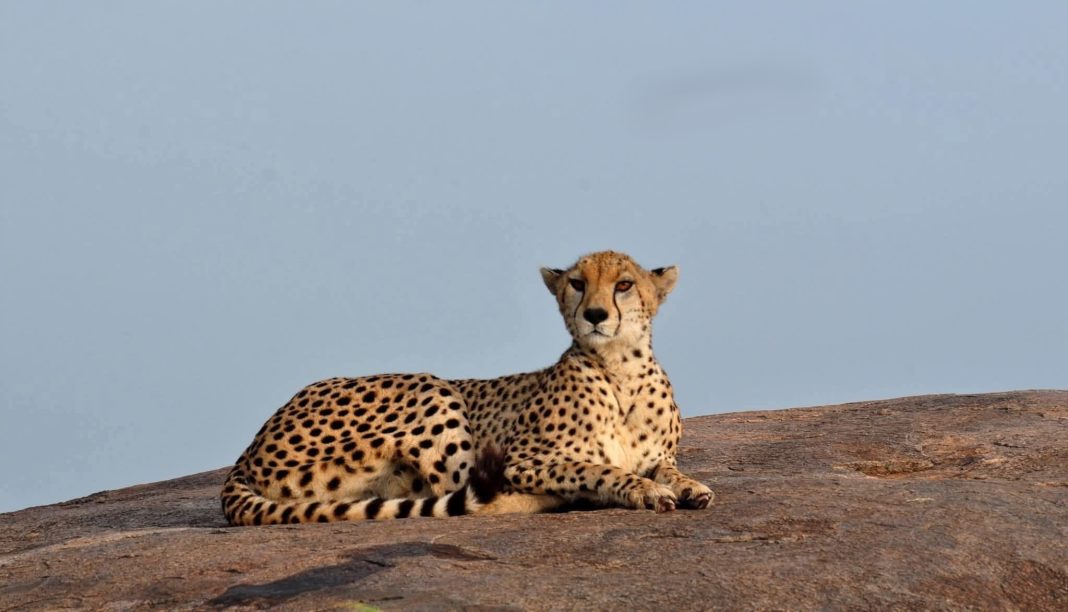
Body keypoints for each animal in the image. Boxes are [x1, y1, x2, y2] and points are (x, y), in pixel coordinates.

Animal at [221, 250, 714, 525]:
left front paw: (689, 486)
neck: (620, 369)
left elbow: (669, 470)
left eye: (624, 284)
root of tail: (248, 450)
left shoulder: (657, 456)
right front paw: (641, 491)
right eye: (577, 283)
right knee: (460, 496)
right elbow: (598, 469)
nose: (594, 314)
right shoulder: (525, 460)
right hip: (432, 389)